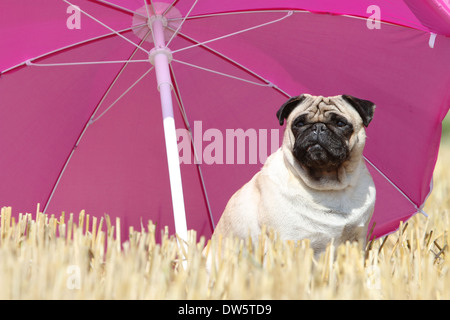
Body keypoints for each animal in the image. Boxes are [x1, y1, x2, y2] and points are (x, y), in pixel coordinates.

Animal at [214, 93, 376, 255]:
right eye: (299, 123)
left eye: (340, 123)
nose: (318, 127)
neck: (328, 185)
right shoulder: (288, 242)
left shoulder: (356, 240)